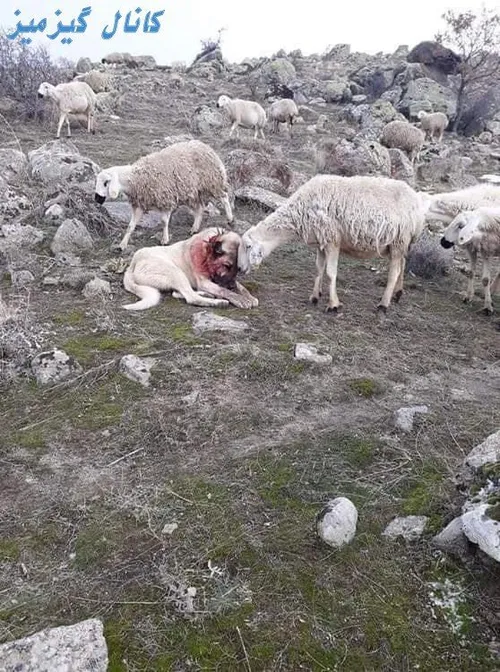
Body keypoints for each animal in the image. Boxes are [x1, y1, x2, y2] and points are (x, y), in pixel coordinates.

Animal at [94, 139, 234, 252]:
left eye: (106, 183)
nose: (97, 199)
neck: (136, 178)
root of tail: (205, 146)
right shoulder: (139, 204)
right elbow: (130, 226)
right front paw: (122, 244)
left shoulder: (166, 199)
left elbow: (164, 221)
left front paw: (165, 239)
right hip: (193, 192)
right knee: (199, 208)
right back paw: (194, 228)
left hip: (213, 181)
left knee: (224, 197)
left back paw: (230, 218)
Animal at [123, 226, 260, 310]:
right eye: (227, 266)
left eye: (238, 268)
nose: (231, 286)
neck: (206, 253)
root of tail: (132, 263)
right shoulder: (205, 282)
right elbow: (223, 290)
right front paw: (239, 298)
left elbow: (241, 287)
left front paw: (248, 296)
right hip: (175, 272)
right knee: (190, 297)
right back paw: (218, 302)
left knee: (178, 293)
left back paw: (208, 295)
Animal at [240, 172, 428, 312]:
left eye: (248, 246)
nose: (240, 269)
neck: (298, 212)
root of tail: (417, 203)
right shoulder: (321, 242)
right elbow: (318, 269)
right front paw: (314, 296)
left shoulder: (332, 241)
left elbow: (330, 273)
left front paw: (333, 305)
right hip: (400, 243)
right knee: (402, 265)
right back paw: (397, 294)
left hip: (399, 240)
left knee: (394, 272)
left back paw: (384, 304)